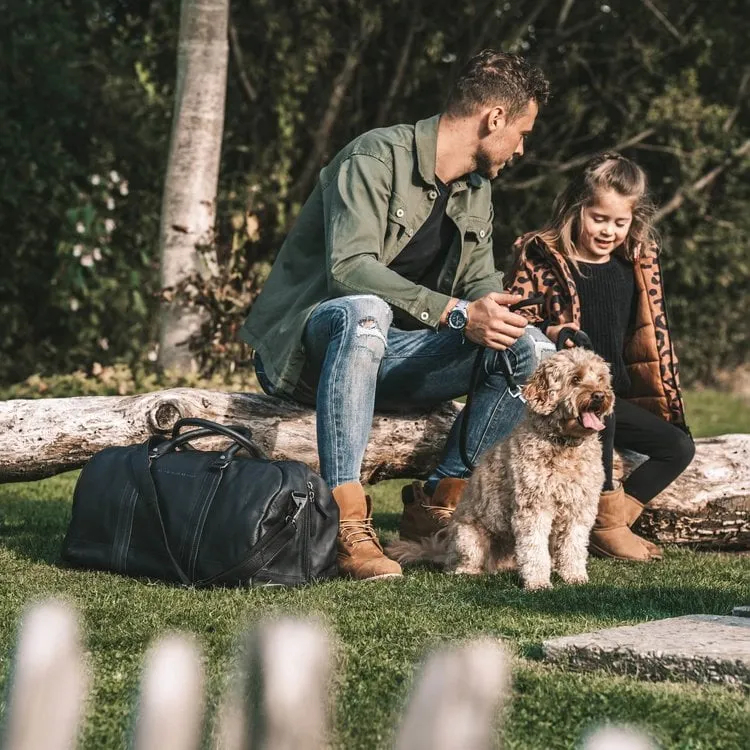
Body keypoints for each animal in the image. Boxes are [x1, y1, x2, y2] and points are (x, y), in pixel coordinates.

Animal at [388, 348, 616, 592]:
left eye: (601, 379)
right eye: (575, 379)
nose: (600, 395)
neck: (563, 445)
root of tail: (444, 551)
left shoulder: (580, 509)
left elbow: (574, 546)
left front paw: (575, 577)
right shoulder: (533, 507)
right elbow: (534, 549)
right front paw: (538, 583)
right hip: (469, 538)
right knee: (457, 567)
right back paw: (470, 572)